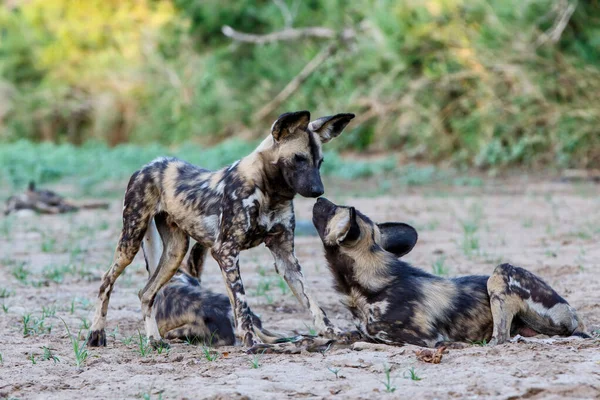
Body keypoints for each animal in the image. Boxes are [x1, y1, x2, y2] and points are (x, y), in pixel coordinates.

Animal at [86, 110, 354, 350]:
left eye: (319, 162)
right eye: (298, 158)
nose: (318, 191)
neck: (270, 192)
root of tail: (149, 164)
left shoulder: (286, 257)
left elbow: (314, 303)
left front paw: (333, 333)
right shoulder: (226, 252)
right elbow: (242, 306)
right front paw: (252, 343)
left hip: (175, 253)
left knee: (146, 293)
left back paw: (154, 340)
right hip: (131, 240)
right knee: (106, 280)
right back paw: (96, 334)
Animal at [312, 198, 588, 348]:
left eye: (332, 209)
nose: (319, 199)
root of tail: (575, 317)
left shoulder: (422, 339)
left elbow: (365, 341)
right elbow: (334, 338)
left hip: (500, 273)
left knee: (500, 339)